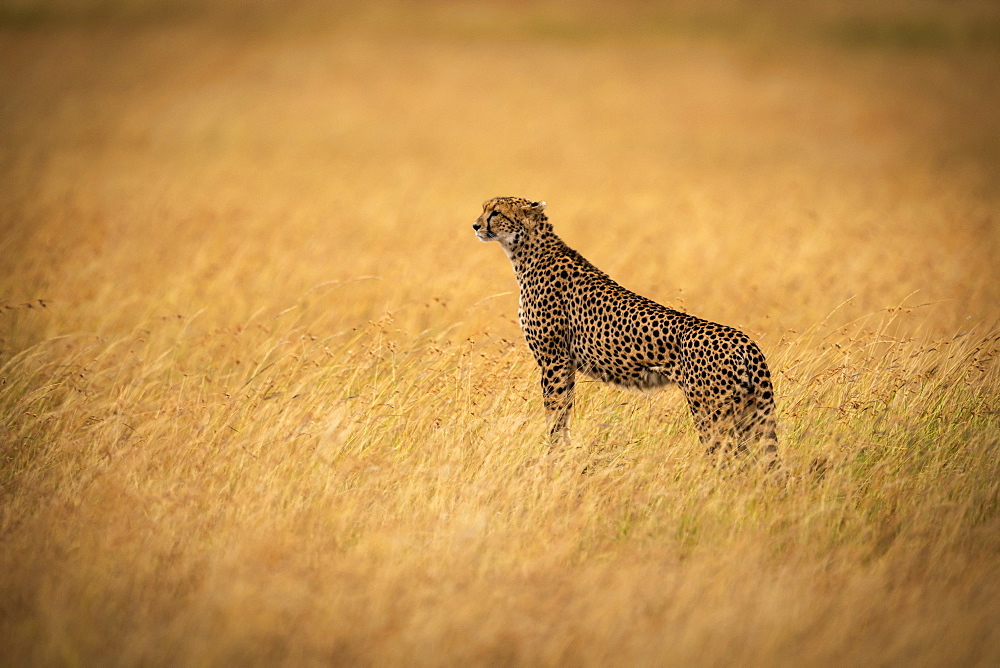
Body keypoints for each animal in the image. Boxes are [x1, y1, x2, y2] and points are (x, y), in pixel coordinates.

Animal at [476, 196, 780, 470]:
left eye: (496, 212)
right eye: (484, 209)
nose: (475, 225)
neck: (527, 252)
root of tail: (745, 341)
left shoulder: (554, 360)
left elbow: (555, 412)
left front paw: (552, 455)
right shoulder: (567, 364)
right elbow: (564, 412)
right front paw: (563, 452)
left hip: (711, 411)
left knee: (727, 459)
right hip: (751, 411)